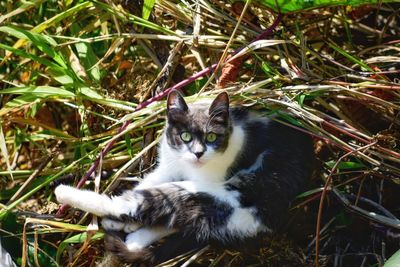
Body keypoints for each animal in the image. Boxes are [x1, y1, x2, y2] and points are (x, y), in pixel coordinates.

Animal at [54, 90, 316, 264]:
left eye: (212, 137)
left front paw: (123, 222)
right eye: (185, 136)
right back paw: (129, 233)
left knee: (143, 206)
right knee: (175, 219)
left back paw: (68, 194)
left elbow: (142, 196)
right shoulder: (167, 165)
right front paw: (124, 224)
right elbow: (148, 181)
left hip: (204, 192)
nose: (198, 153)